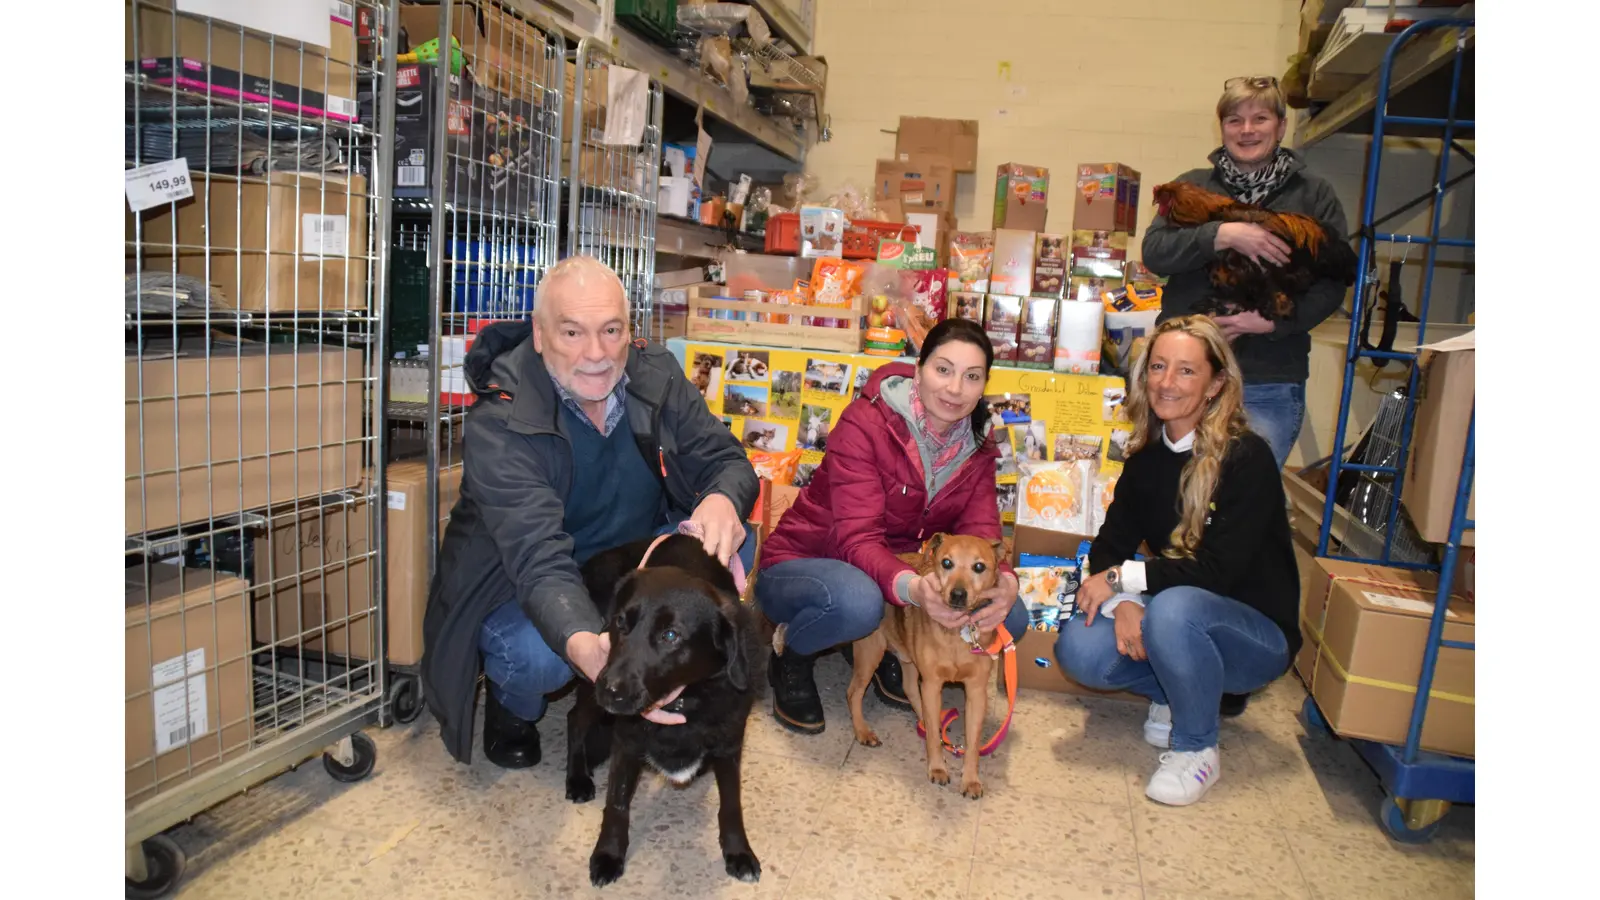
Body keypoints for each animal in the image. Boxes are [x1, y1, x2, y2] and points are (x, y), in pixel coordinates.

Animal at [566, 531, 764, 883]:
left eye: (670, 635)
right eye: (620, 622)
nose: (611, 691)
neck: (686, 699)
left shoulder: (729, 744)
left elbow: (731, 803)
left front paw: (738, 851)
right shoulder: (626, 743)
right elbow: (616, 805)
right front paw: (608, 854)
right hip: (590, 681)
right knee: (574, 720)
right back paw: (577, 777)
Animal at [851, 528, 998, 794]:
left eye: (979, 567)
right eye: (947, 563)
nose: (958, 594)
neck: (956, 634)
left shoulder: (976, 691)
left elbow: (972, 744)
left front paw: (971, 779)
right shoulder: (932, 683)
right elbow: (931, 740)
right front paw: (937, 768)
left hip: (907, 659)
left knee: (910, 689)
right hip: (870, 653)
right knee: (853, 693)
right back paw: (863, 731)